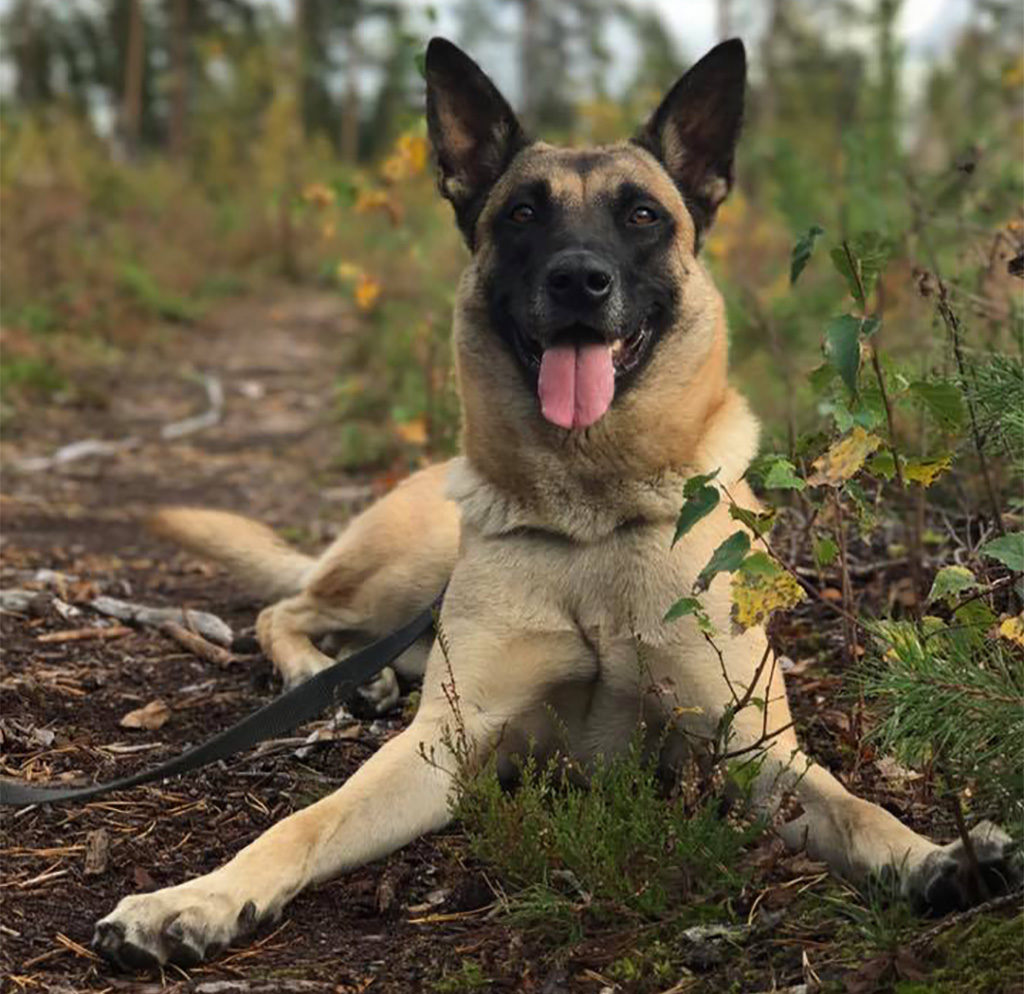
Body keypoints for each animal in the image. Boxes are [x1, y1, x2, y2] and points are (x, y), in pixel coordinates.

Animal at [94, 38, 1015, 970]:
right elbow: (303, 824)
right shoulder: (440, 751)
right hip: (402, 572)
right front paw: (196, 899)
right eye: (522, 215)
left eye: (642, 215)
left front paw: (936, 856)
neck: (593, 518)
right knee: (286, 608)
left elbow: (854, 808)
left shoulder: (754, 751)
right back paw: (322, 675)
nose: (579, 279)